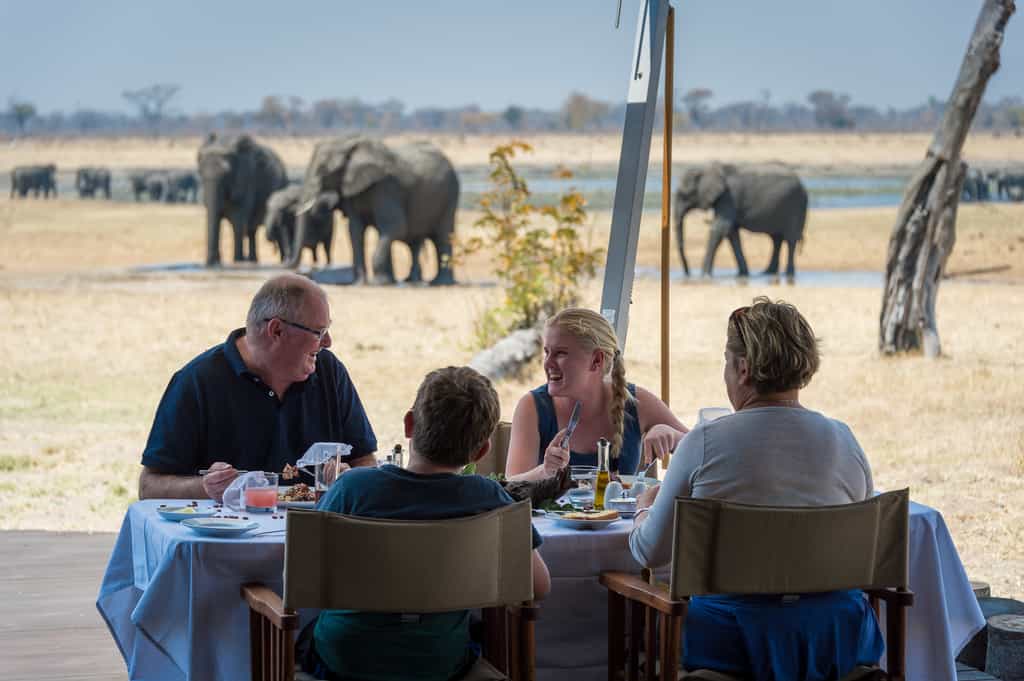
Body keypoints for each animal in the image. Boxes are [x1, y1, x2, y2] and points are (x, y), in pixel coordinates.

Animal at [197, 134, 288, 266]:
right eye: (200, 173)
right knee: (251, 230)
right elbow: (217, 218)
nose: (212, 262)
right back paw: (252, 261)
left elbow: (238, 221)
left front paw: (237, 261)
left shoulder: (245, 180)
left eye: (227, 174)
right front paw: (217, 262)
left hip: (281, 187)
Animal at [288, 136, 459, 285]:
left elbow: (395, 227)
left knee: (443, 236)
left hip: (450, 195)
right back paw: (412, 280)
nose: (304, 273)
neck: (349, 143)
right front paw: (360, 283)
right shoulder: (351, 189)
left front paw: (379, 283)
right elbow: (355, 231)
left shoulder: (387, 187)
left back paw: (440, 282)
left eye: (322, 169)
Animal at [674, 163, 808, 278]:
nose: (688, 274)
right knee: (776, 240)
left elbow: (720, 229)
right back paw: (767, 273)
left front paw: (704, 275)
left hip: (796, 208)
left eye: (684, 194)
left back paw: (788, 274)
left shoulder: (728, 198)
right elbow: (732, 234)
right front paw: (742, 274)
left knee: (790, 240)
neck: (708, 169)